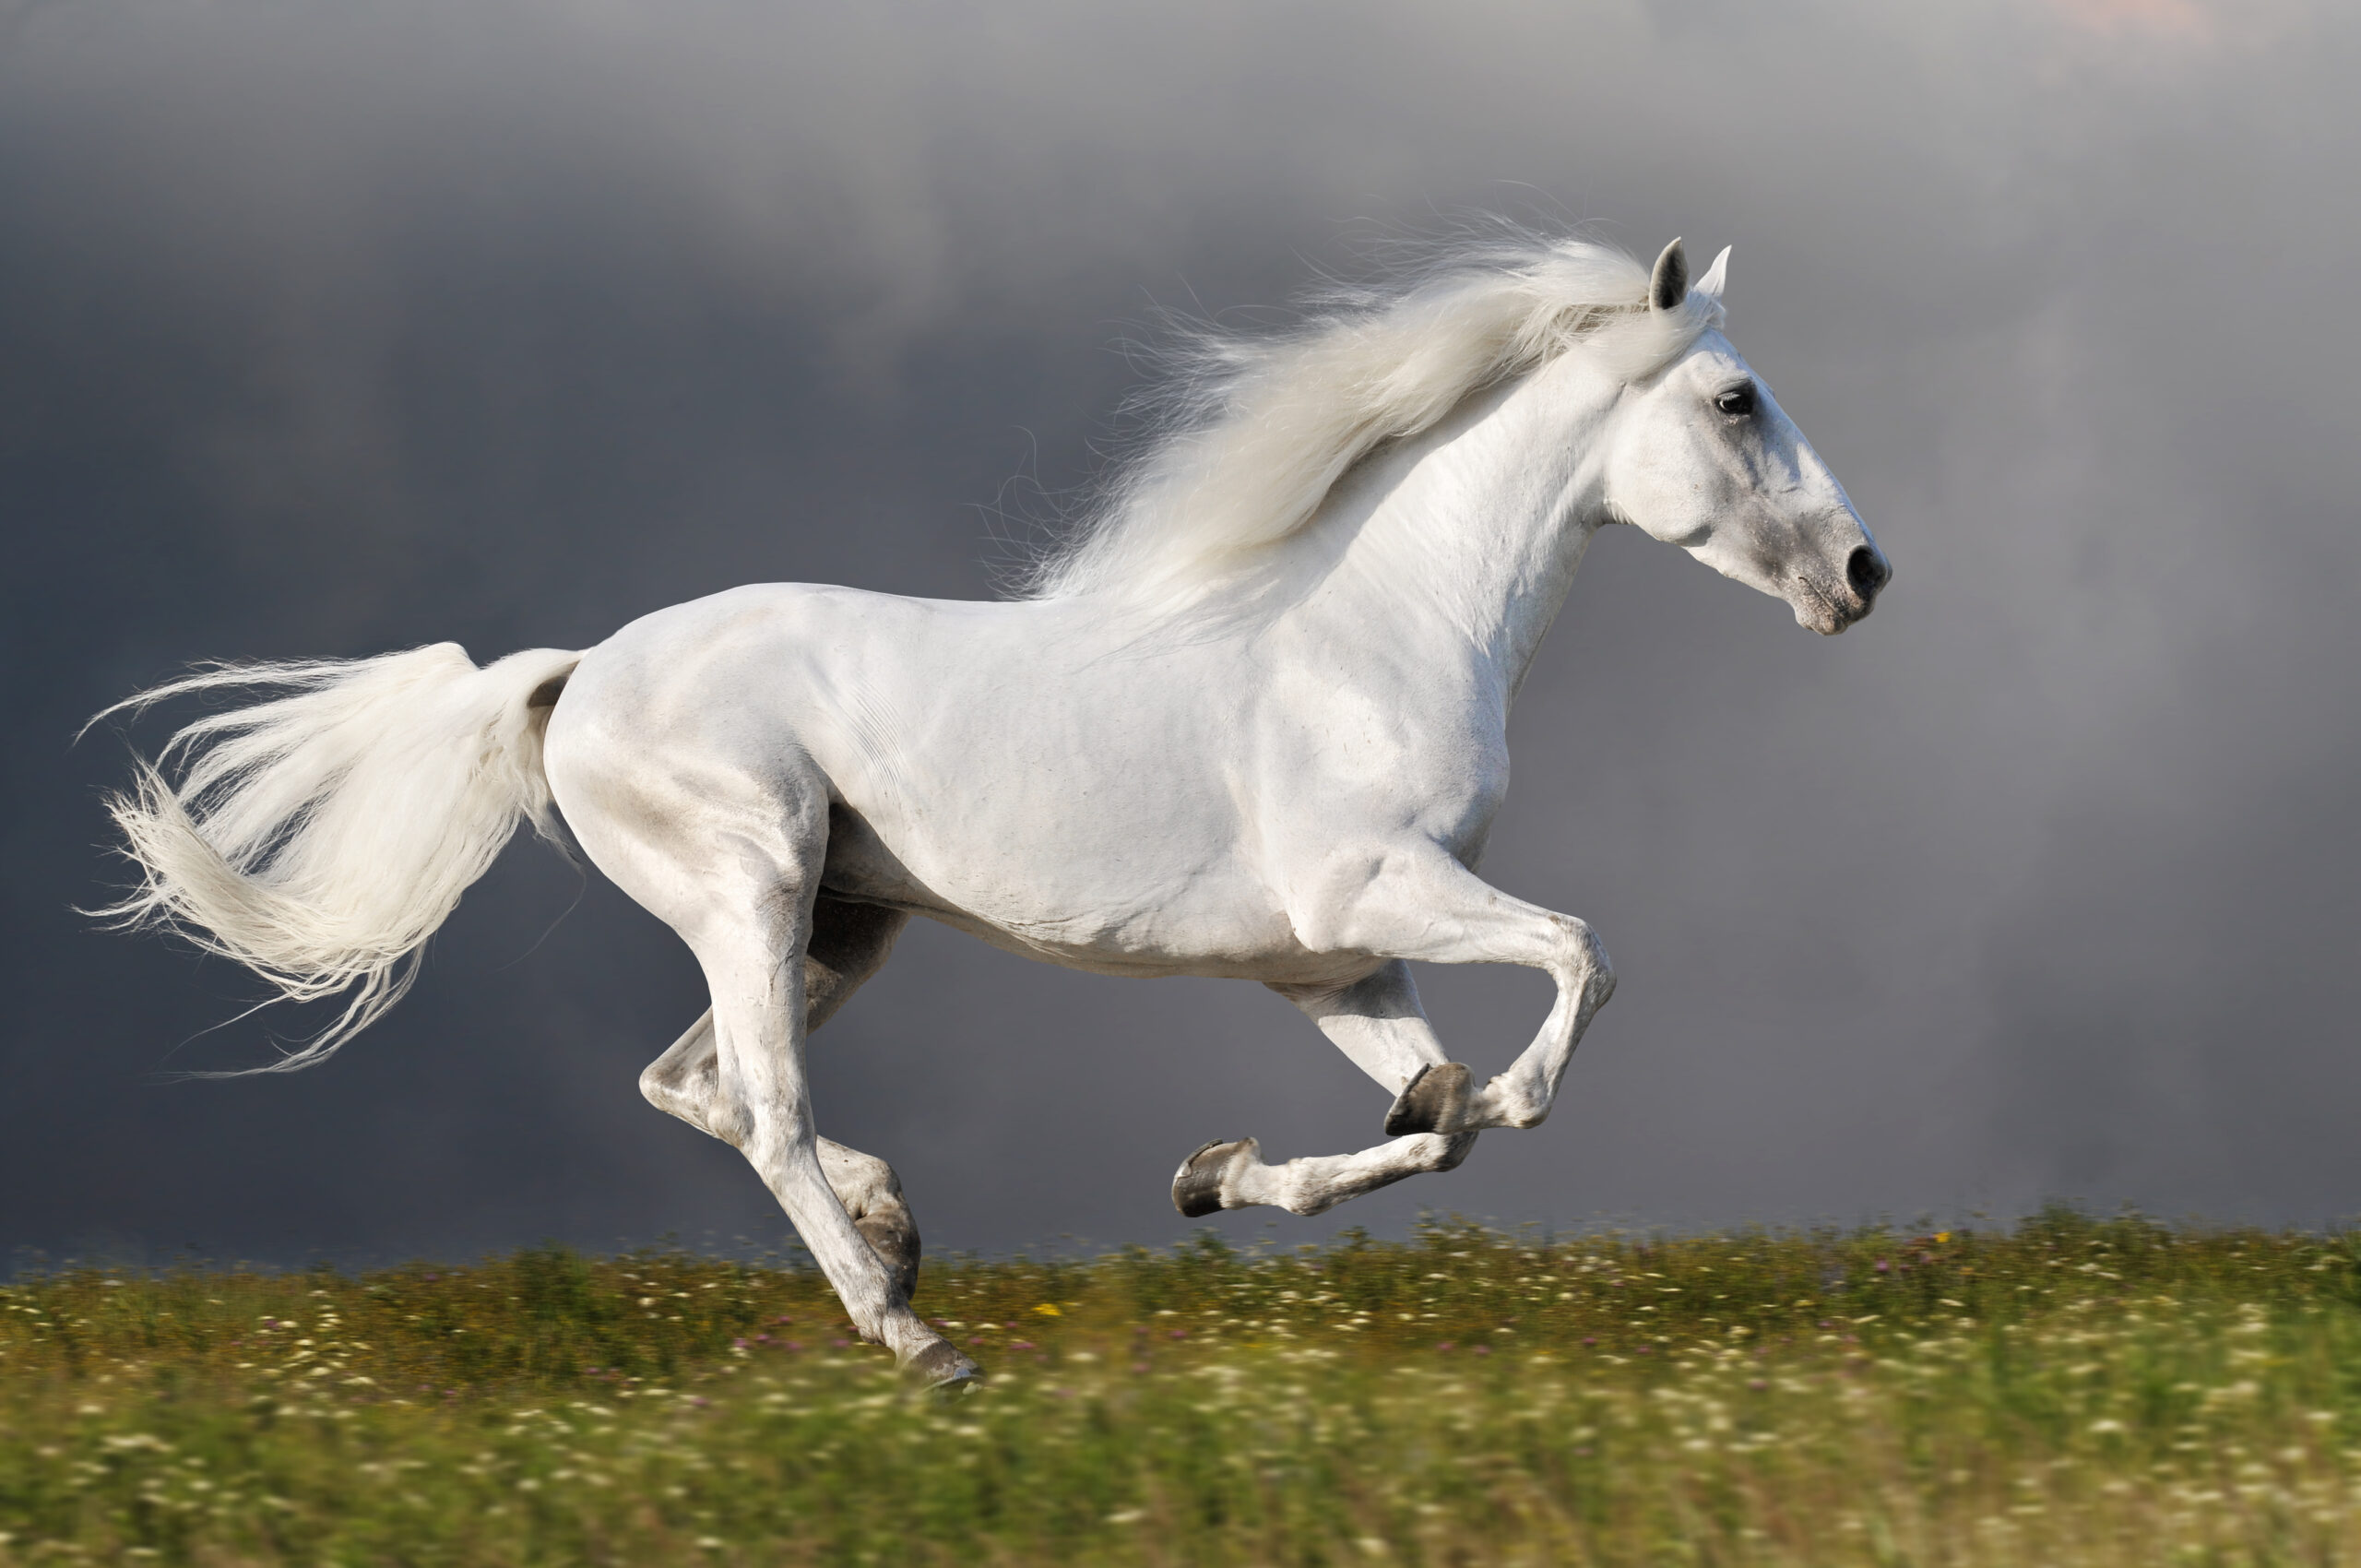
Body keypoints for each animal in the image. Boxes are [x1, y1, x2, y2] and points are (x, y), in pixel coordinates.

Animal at [92, 233, 1888, 1388]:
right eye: (1736, 401)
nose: (1866, 574)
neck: (1372, 629)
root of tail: (580, 671)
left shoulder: (1329, 962)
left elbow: (1427, 1123)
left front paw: (1219, 1176)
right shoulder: (1373, 892)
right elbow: (1576, 969)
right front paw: (1483, 1097)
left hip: (842, 926)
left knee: (695, 1085)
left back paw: (896, 1235)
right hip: (752, 890)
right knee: (760, 1104)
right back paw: (914, 1336)